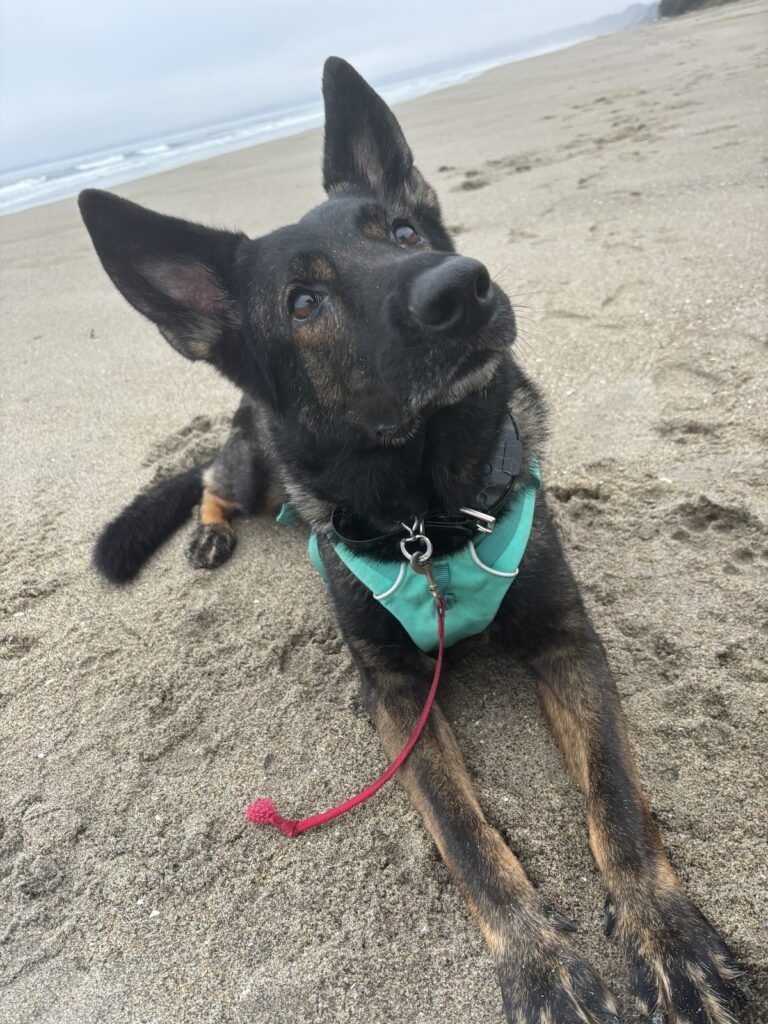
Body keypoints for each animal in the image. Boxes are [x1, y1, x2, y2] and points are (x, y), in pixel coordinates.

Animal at [79, 54, 745, 1024]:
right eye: (304, 301)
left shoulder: (567, 640)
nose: (461, 286)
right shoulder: (396, 696)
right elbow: (466, 836)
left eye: (401, 231)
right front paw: (541, 962)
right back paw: (206, 537)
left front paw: (668, 934)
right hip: (254, 468)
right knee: (208, 476)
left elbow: (616, 797)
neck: (431, 518)